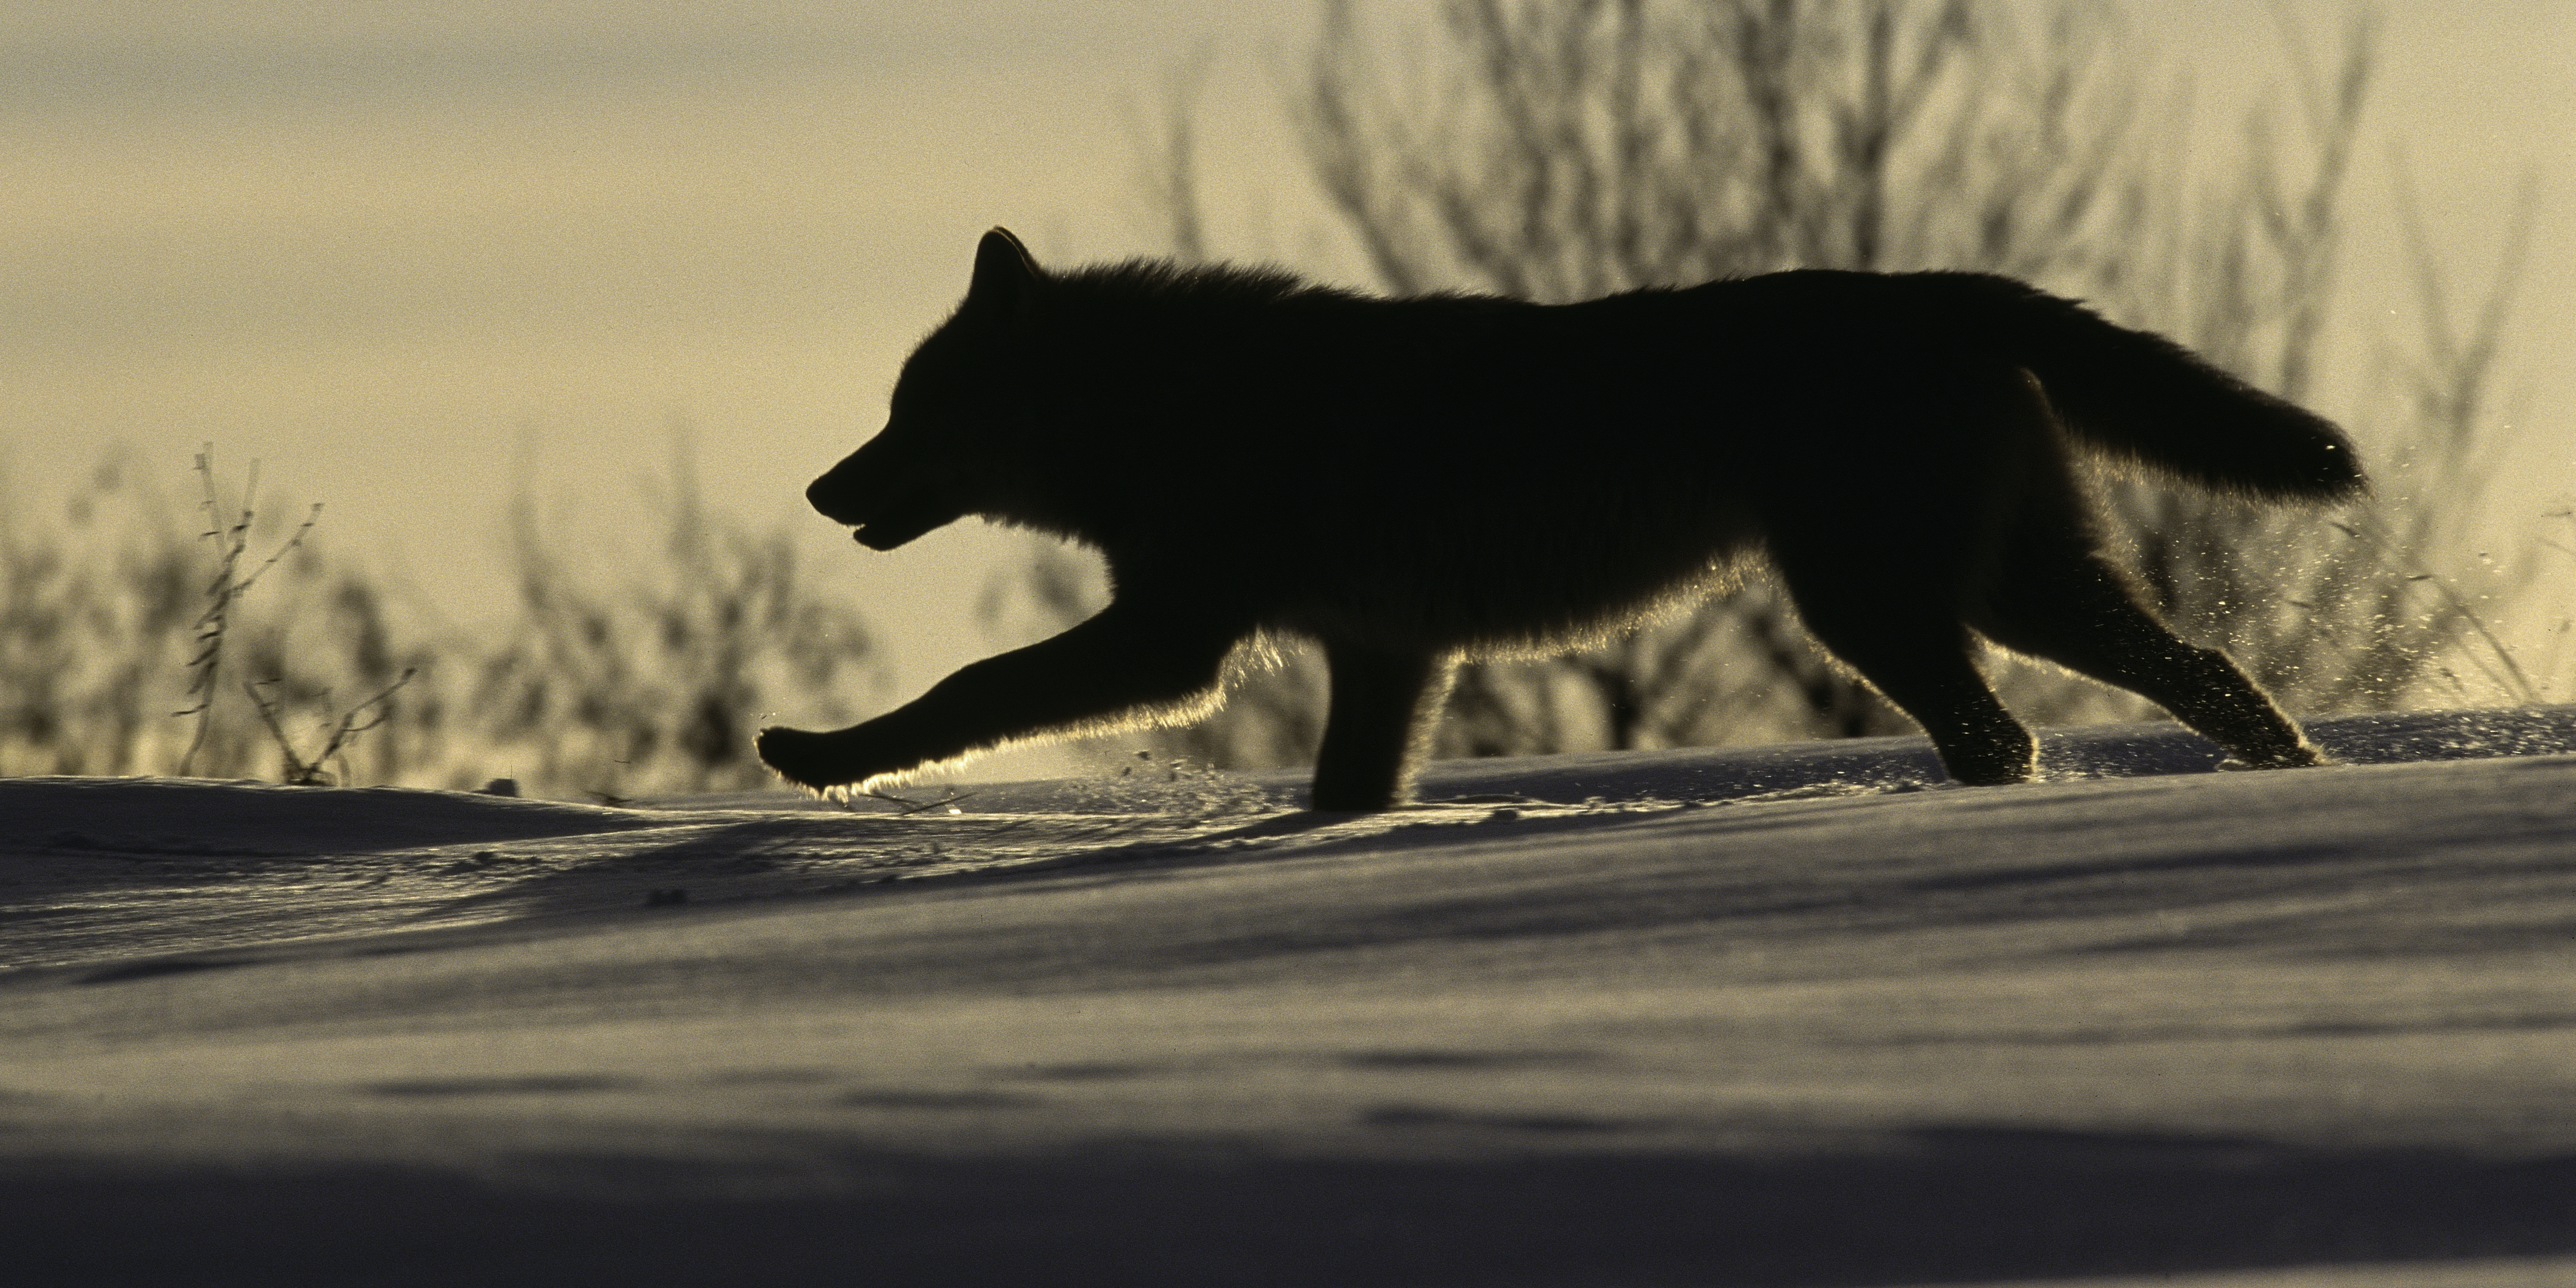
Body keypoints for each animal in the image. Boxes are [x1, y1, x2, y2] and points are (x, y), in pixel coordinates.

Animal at [752, 223, 2359, 804]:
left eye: (907, 414)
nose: (820, 487)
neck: (1182, 405)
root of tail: (1939, 288)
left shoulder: (1176, 640)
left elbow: (968, 687)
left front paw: (816, 756)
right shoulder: (1384, 655)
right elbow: (1346, 793)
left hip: (1874, 606)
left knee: (2007, 731)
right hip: (2012, 591)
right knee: (2208, 676)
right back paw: (2295, 780)